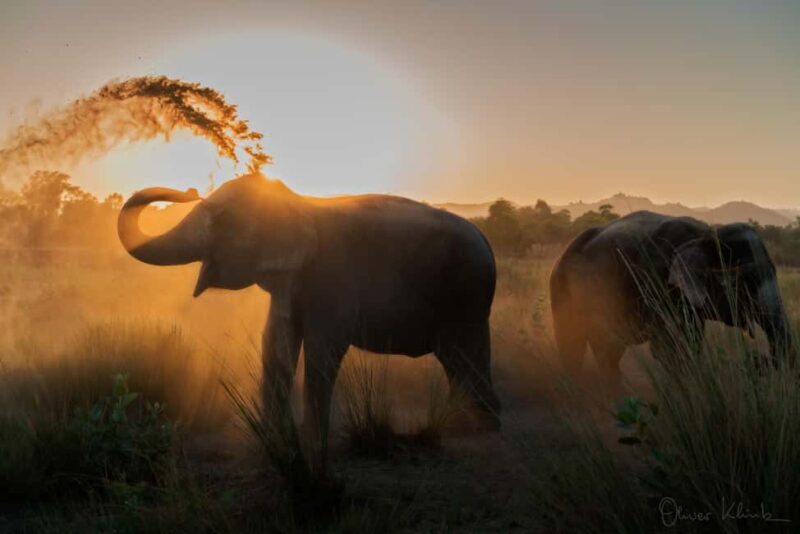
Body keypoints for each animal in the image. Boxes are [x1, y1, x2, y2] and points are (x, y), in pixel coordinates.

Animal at [118, 172, 501, 472]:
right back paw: (468, 426)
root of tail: (486, 241)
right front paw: (272, 441)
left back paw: (475, 429)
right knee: (461, 360)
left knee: (460, 356)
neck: (298, 202)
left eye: (222, 218)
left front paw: (311, 446)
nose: (189, 190)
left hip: (465, 294)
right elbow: (275, 344)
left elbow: (322, 350)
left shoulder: (332, 276)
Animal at [550, 210, 791, 376]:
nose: (755, 358)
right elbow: (668, 348)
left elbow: (691, 341)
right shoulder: (658, 284)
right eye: (746, 281)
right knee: (586, 346)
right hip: (569, 289)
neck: (705, 235)